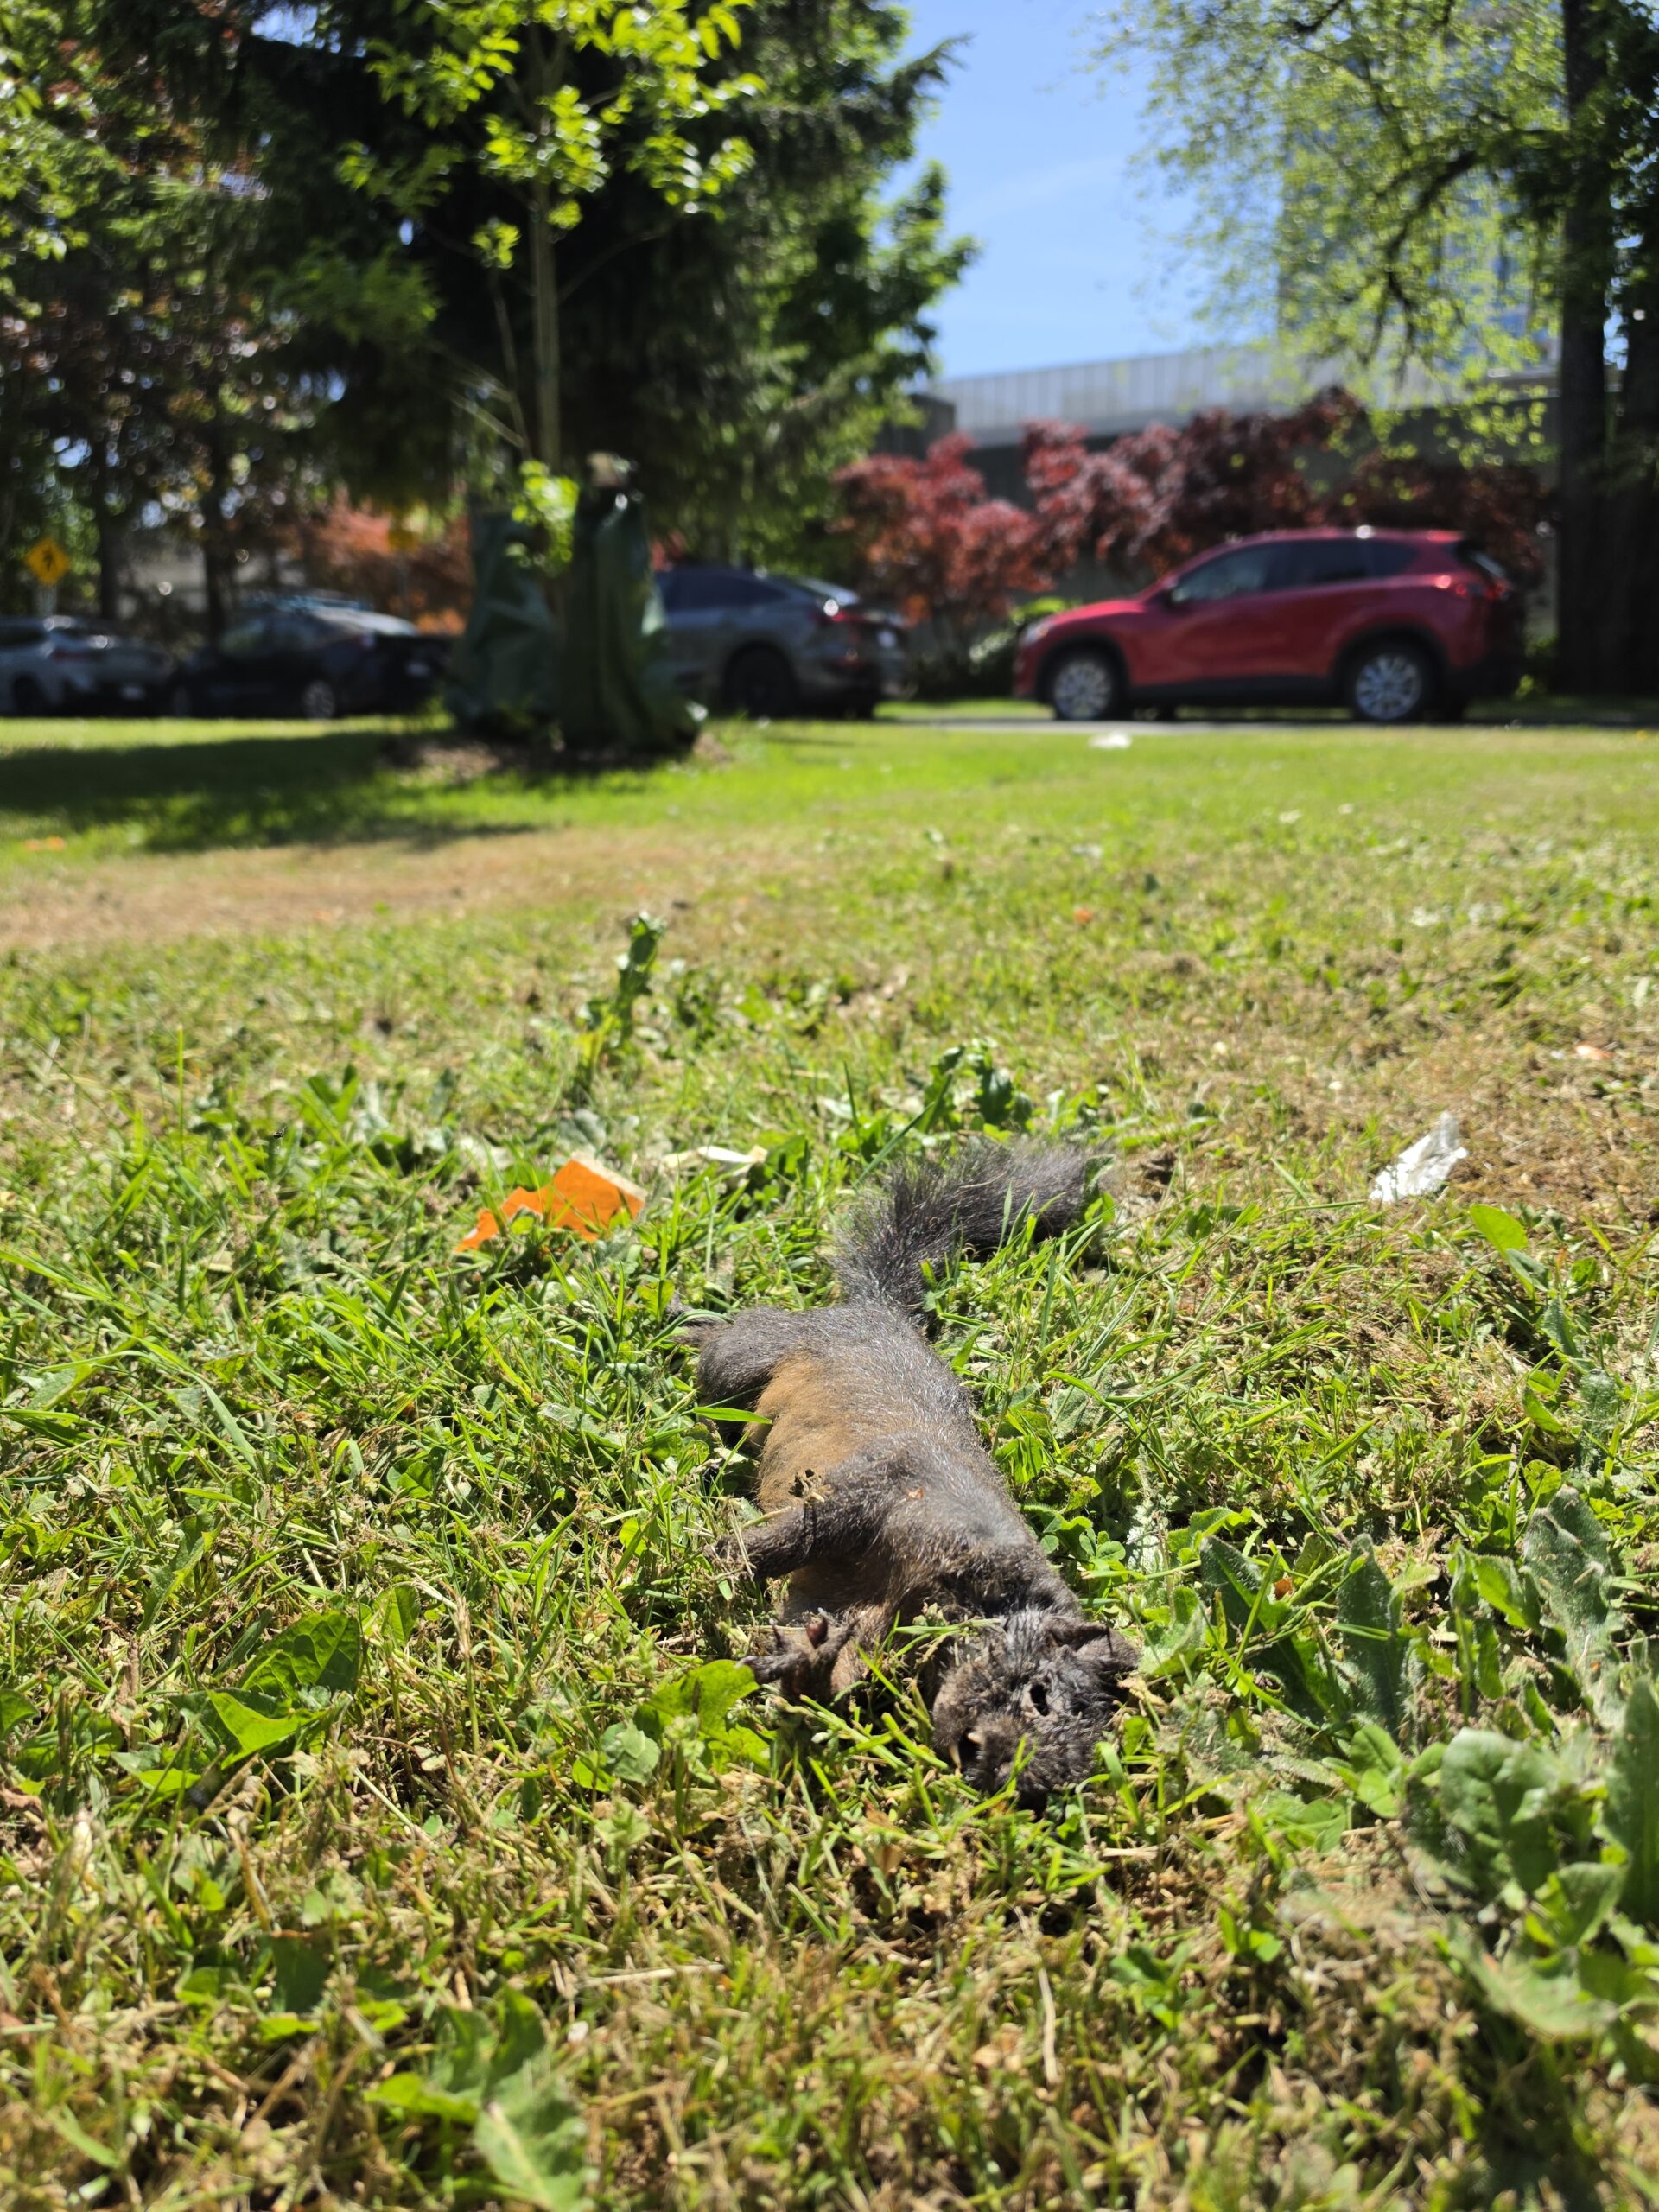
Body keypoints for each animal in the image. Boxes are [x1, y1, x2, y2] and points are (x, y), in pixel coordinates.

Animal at [686, 1140, 1137, 1806]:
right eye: (1040, 1697)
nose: (998, 1779)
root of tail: (877, 1308)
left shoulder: (860, 1617)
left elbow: (830, 1678)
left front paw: (803, 1664)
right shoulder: (883, 1495)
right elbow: (793, 1537)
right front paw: (712, 1565)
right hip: (748, 1361)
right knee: (724, 1347)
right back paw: (685, 1328)